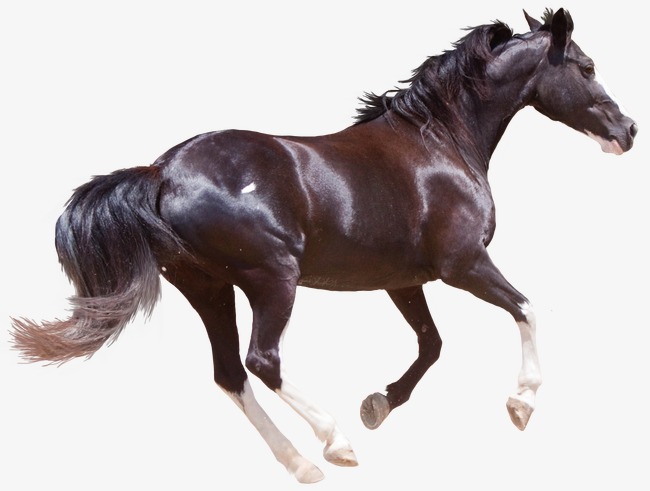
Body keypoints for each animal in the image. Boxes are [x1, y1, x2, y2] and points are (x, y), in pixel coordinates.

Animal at [11, 8, 637, 483]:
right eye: (587, 66)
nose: (627, 131)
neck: (441, 142)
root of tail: (161, 172)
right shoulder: (463, 264)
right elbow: (527, 310)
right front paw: (521, 404)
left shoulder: (403, 280)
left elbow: (432, 344)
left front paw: (379, 404)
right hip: (271, 280)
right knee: (261, 360)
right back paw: (335, 444)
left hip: (208, 288)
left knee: (230, 374)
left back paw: (302, 465)